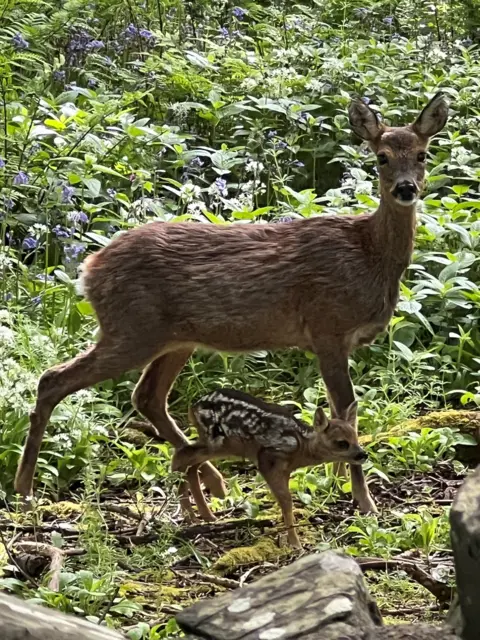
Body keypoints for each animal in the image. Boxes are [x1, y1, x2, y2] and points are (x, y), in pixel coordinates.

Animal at [14, 93, 449, 515]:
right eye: (382, 157)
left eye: (423, 154)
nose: (406, 189)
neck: (369, 253)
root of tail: (89, 268)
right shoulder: (327, 328)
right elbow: (346, 408)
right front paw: (364, 500)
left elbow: (342, 410)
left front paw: (340, 479)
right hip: (132, 328)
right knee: (53, 379)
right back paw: (25, 491)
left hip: (174, 338)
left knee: (147, 396)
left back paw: (215, 483)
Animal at [171, 388, 367, 548]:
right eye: (341, 443)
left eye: (356, 437)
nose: (363, 455)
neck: (301, 447)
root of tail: (193, 406)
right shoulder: (267, 458)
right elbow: (286, 501)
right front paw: (295, 544)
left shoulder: (286, 470)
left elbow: (285, 499)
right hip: (218, 441)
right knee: (183, 455)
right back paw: (190, 513)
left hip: (219, 444)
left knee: (190, 461)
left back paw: (201, 516)